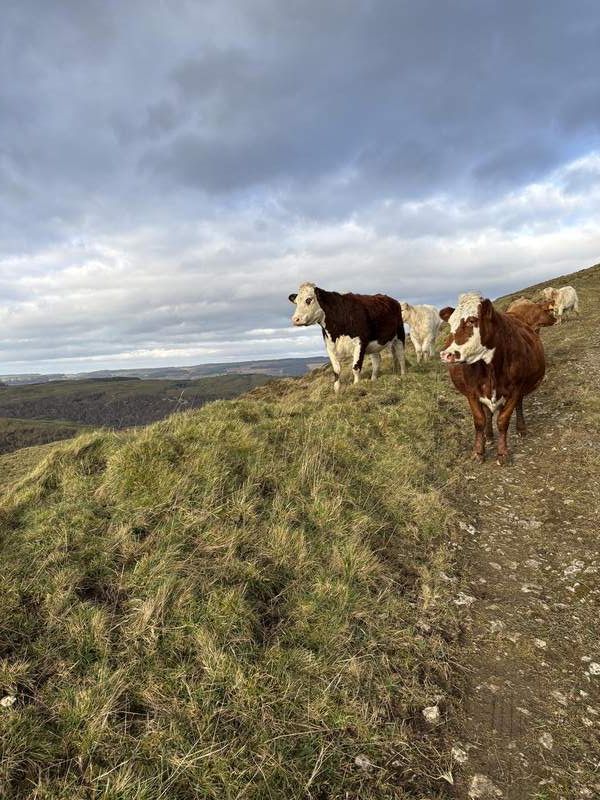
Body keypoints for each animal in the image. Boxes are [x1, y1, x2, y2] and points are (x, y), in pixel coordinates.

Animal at [439, 292, 545, 465]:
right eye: (450, 324)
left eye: (472, 320)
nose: (446, 354)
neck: (489, 369)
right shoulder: (472, 393)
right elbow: (479, 421)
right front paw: (478, 452)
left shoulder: (515, 390)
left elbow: (503, 421)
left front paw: (502, 453)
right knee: (488, 414)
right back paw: (488, 436)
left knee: (518, 405)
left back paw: (521, 428)